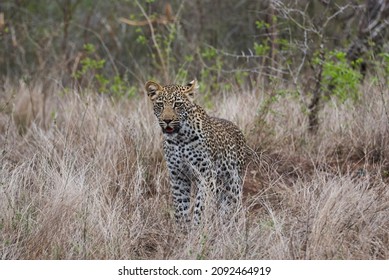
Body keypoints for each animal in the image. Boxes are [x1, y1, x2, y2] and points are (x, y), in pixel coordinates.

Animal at [144, 80, 247, 226]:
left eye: (178, 104)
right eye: (160, 105)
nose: (167, 120)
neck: (179, 139)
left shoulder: (206, 176)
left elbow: (201, 207)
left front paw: (198, 228)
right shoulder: (178, 177)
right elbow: (180, 208)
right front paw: (183, 230)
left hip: (233, 185)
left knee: (229, 208)